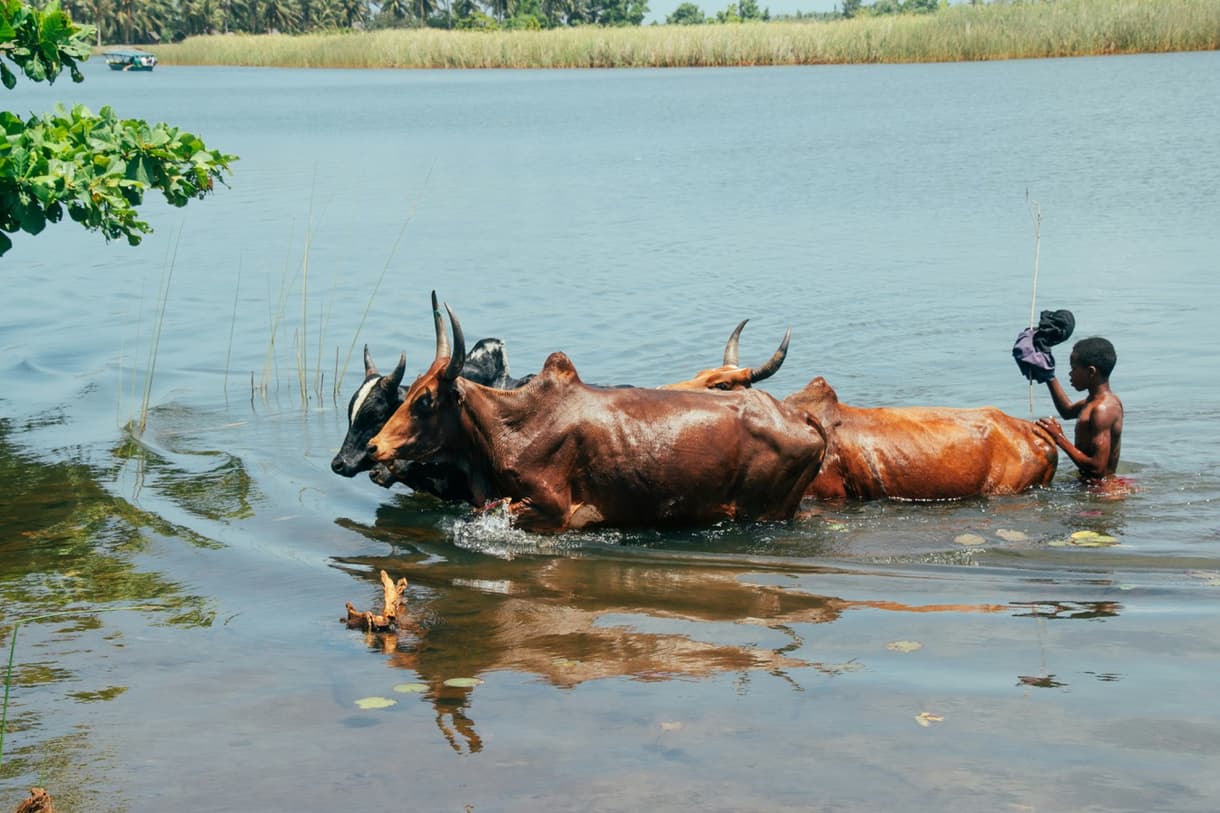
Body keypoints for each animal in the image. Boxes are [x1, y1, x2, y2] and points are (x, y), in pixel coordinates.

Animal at [366, 299, 828, 532]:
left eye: (425, 400)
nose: (373, 447)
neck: (505, 426)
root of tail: (803, 420)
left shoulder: (553, 509)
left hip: (765, 511)